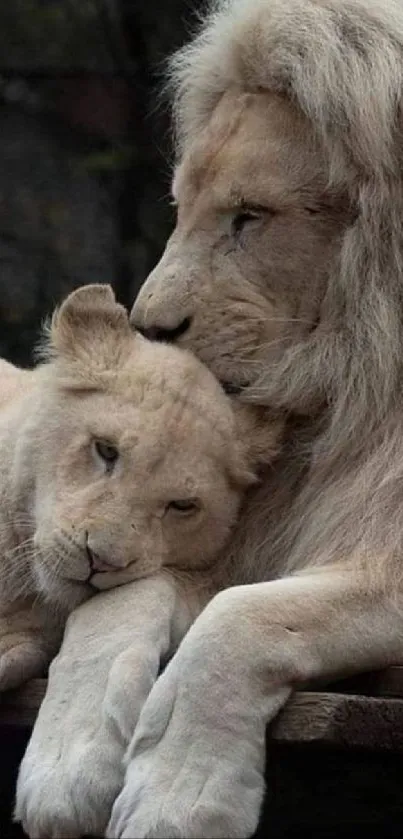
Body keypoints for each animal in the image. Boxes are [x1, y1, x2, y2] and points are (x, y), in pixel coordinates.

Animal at [15, 0, 403, 836]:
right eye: (180, 208)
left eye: (249, 217)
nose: (149, 327)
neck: (357, 390)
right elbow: (125, 595)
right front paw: (65, 768)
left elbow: (241, 617)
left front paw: (178, 794)